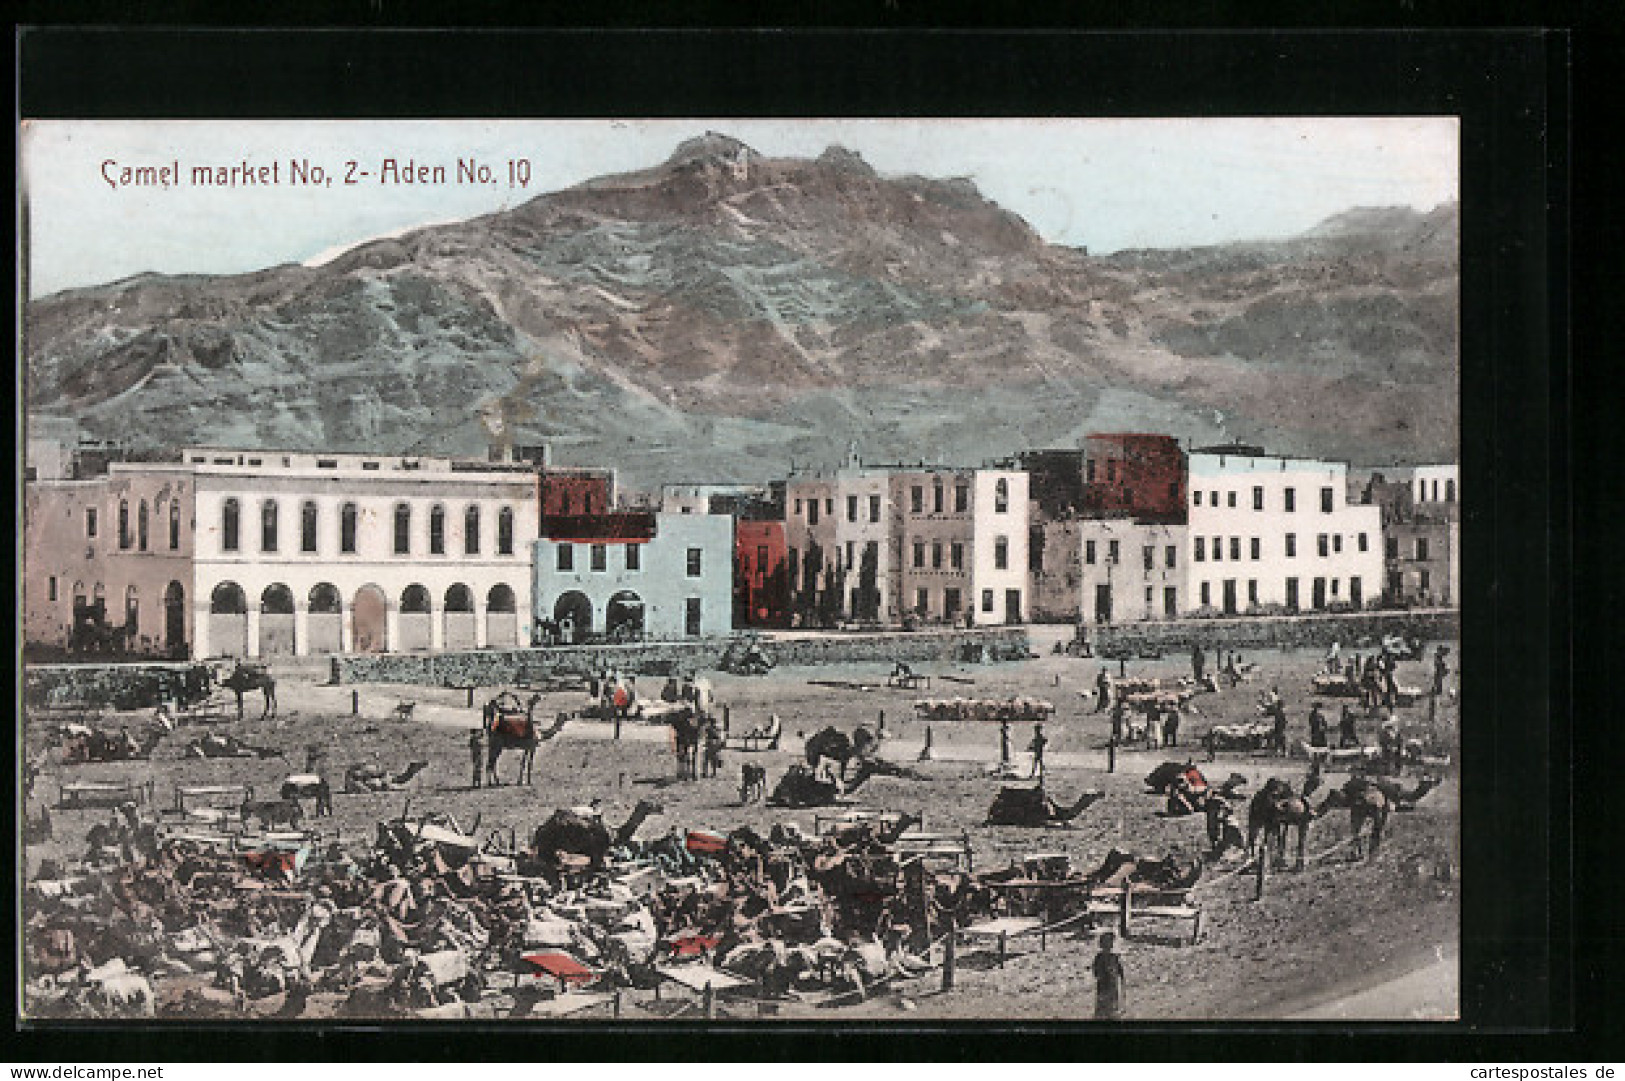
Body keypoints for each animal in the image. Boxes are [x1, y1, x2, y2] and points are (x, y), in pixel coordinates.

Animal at [529, 796, 663, 871]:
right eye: (650, 805)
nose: (661, 808)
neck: (614, 833)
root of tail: (540, 829)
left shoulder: (596, 853)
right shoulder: (597, 851)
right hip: (549, 842)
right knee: (545, 857)